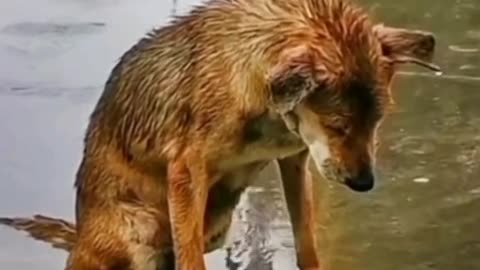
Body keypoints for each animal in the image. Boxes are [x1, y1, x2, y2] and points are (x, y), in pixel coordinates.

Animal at [0, 0, 438, 268]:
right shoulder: (186, 170)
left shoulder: (294, 160)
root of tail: (80, 238)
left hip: (217, 223)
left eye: (377, 122)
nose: (364, 184)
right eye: (338, 125)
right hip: (141, 228)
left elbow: (307, 239)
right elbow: (190, 255)